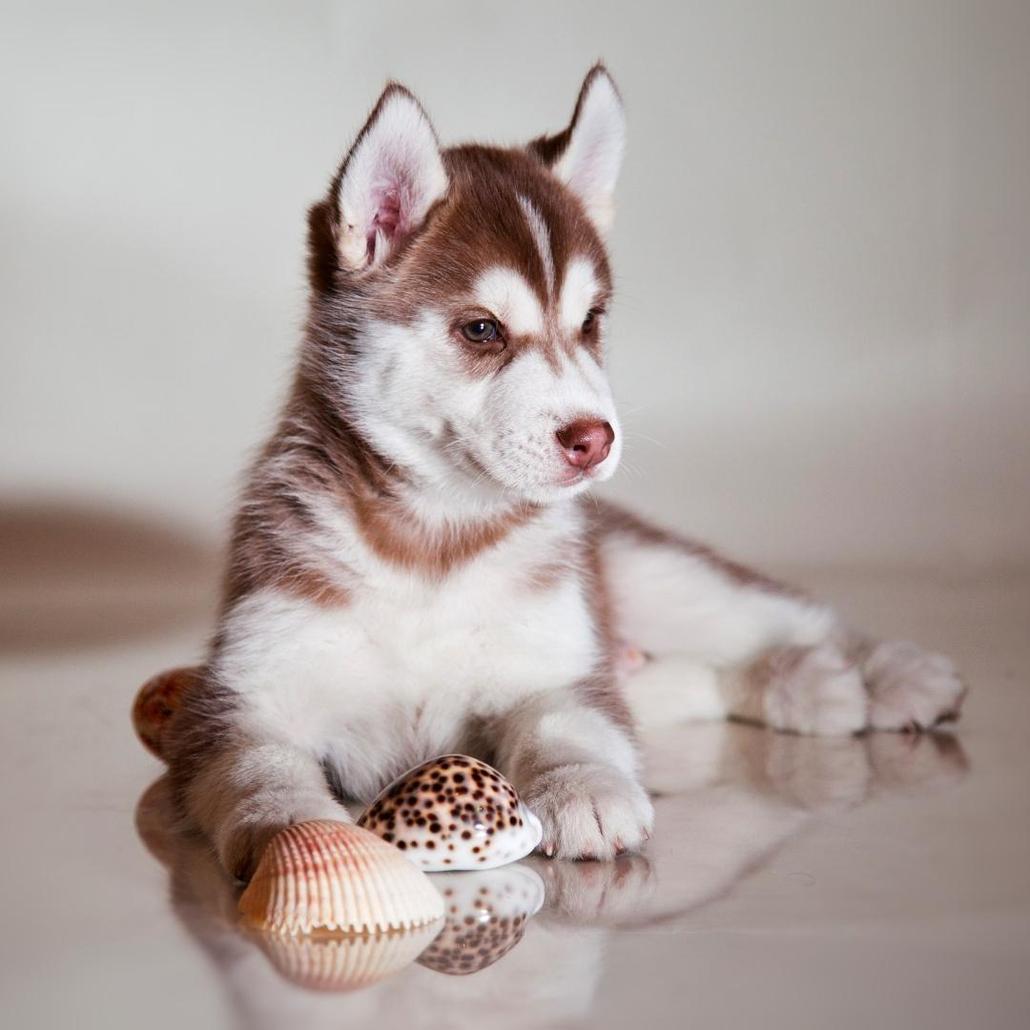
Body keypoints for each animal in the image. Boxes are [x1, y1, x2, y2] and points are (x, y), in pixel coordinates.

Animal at [166, 68, 964, 881]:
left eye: (591, 323)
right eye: (481, 329)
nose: (595, 439)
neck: (434, 537)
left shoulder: (554, 666)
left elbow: (567, 723)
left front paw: (584, 789)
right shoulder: (244, 695)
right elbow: (258, 767)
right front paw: (299, 840)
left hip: (653, 575)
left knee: (786, 614)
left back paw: (892, 674)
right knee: (696, 677)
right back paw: (809, 684)